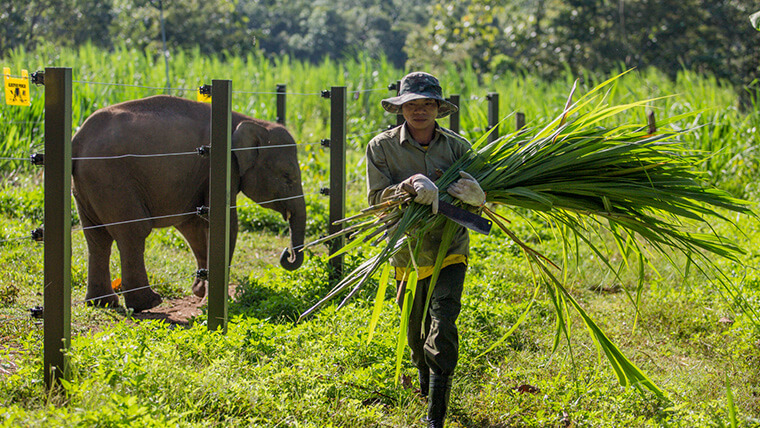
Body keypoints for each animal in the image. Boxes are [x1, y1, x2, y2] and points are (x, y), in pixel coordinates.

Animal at [71, 95, 308, 312]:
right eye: (287, 177)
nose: (286, 254)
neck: (252, 122)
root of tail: (76, 140)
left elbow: (193, 225)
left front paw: (199, 292)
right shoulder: (220, 166)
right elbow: (223, 223)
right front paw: (211, 301)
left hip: (88, 186)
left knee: (97, 238)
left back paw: (102, 303)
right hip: (112, 178)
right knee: (133, 232)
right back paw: (149, 303)